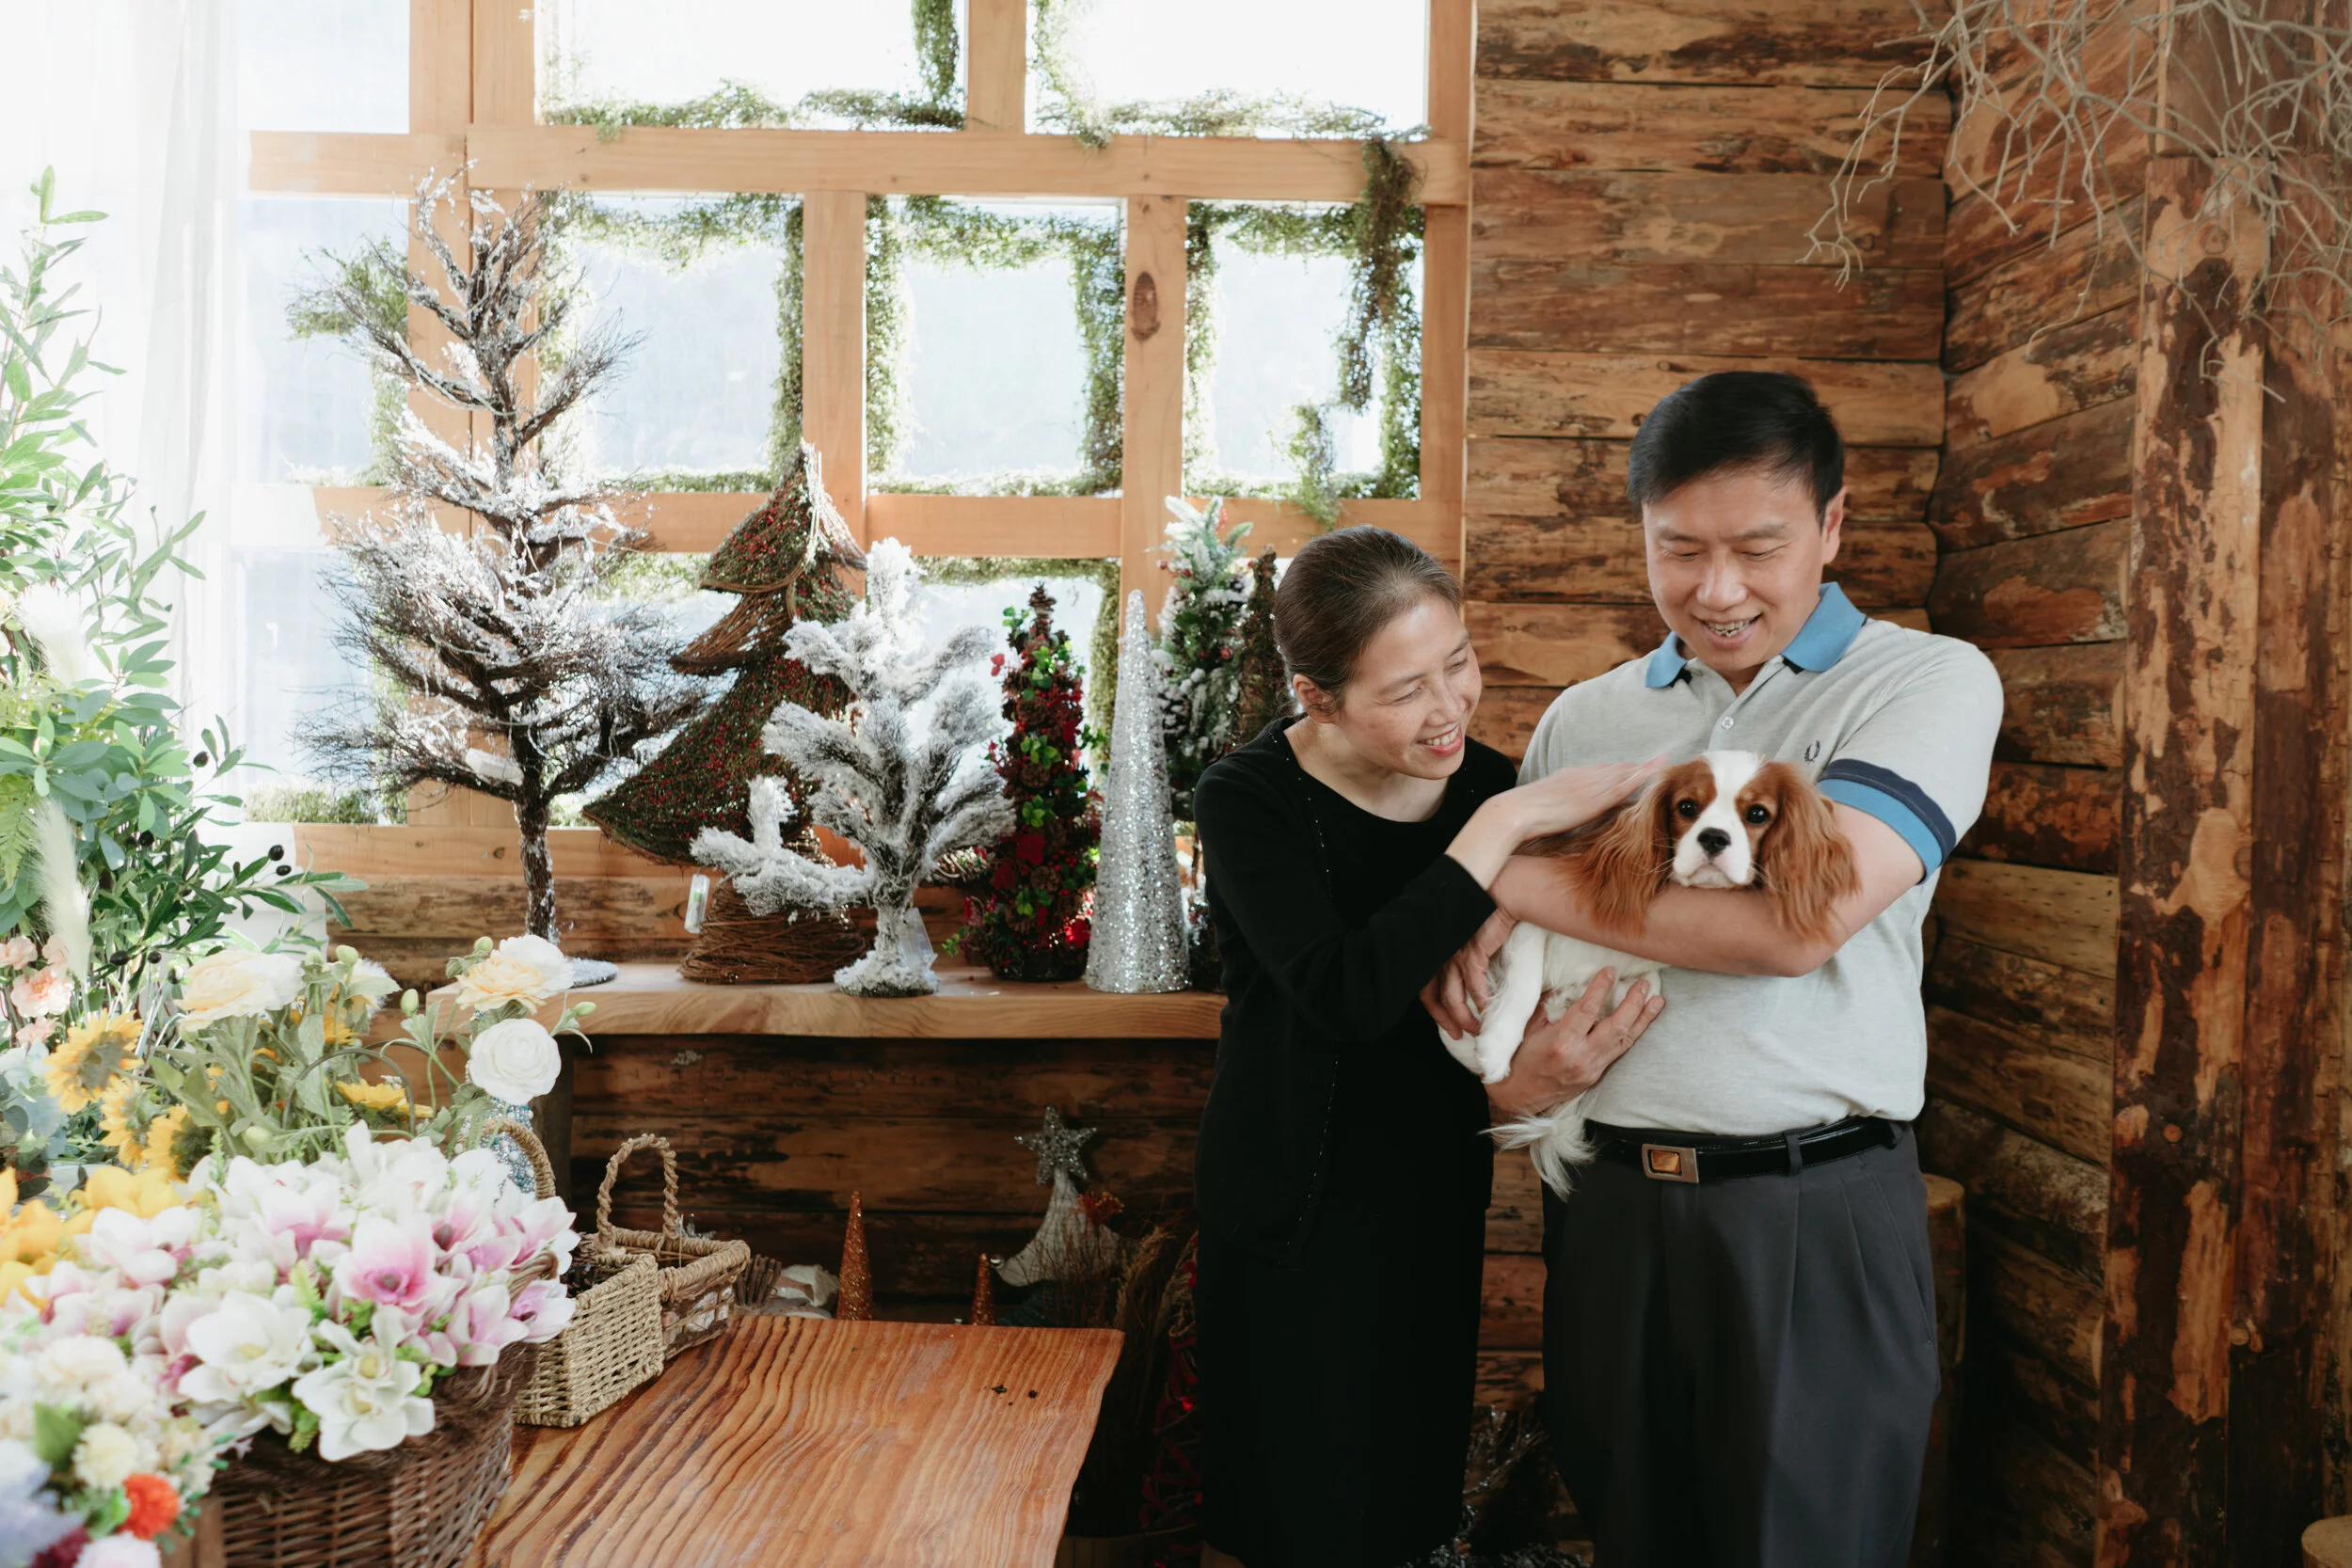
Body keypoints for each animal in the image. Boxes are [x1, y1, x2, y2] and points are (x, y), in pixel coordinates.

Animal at [1441, 750, 1858, 1194]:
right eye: (1687, 808)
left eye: (1758, 814)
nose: (1714, 838)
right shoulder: (1524, 917)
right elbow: (1522, 982)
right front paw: (1498, 1047)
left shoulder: (1643, 970)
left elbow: (1645, 986)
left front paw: (1576, 1002)